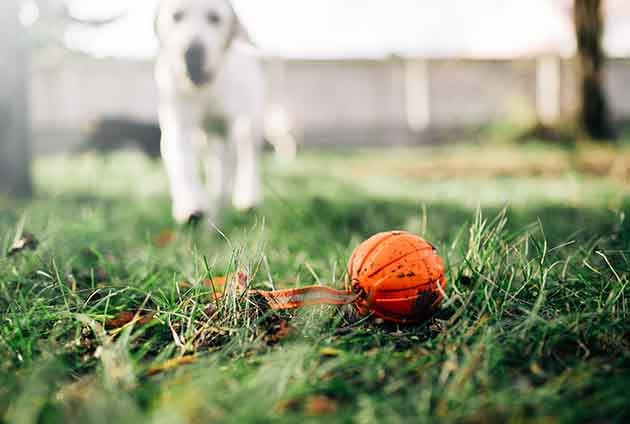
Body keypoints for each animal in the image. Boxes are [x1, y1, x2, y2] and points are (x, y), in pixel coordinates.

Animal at [158, 0, 270, 225]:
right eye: (176, 16)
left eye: (214, 18)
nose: (192, 53)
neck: (206, 90)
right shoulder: (178, 122)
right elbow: (182, 162)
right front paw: (191, 206)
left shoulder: (228, 128)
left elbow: (223, 177)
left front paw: (216, 210)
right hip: (206, 136)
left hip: (249, 122)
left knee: (248, 154)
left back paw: (248, 198)